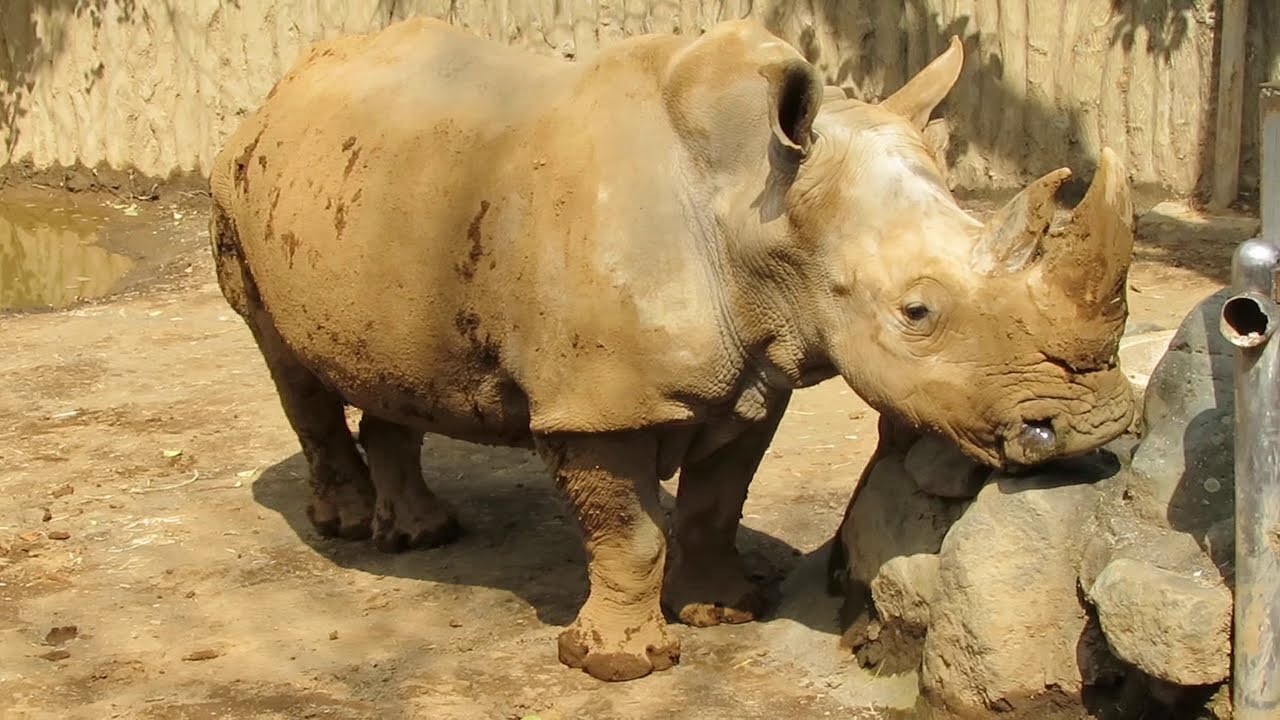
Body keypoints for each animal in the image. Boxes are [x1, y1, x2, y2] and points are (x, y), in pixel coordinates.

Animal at [209, 17, 1136, 681]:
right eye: (918, 312)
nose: (1097, 425)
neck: (756, 205)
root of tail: (280, 89)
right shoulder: (596, 405)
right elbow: (631, 533)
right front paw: (621, 665)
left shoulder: (757, 370)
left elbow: (715, 501)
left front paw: (727, 611)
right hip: (240, 187)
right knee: (284, 361)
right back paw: (344, 527)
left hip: (383, 192)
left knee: (389, 365)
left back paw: (422, 537)